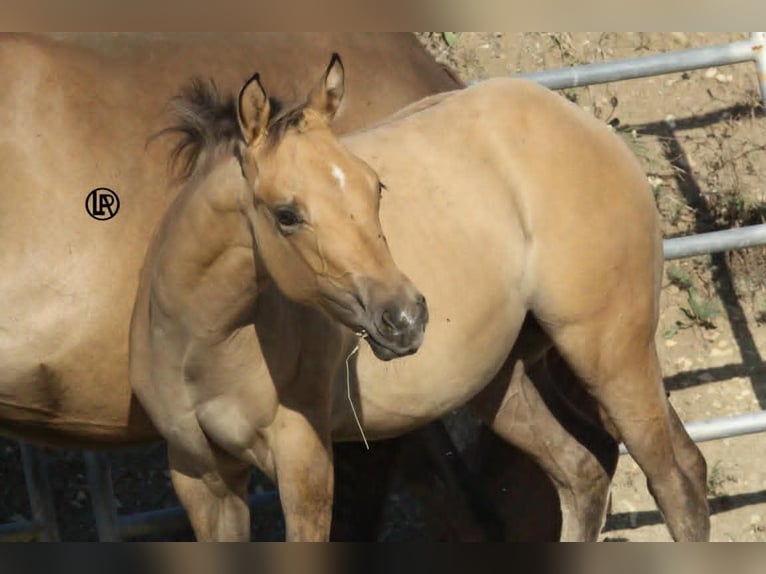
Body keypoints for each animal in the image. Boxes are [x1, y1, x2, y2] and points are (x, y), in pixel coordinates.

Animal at [129, 54, 710, 542]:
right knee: (588, 468)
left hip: (611, 352)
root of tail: (591, 128)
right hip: (507, 380)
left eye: (376, 187)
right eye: (287, 214)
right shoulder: (201, 478)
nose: (405, 318)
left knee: (674, 481)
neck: (200, 346)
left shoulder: (305, 464)